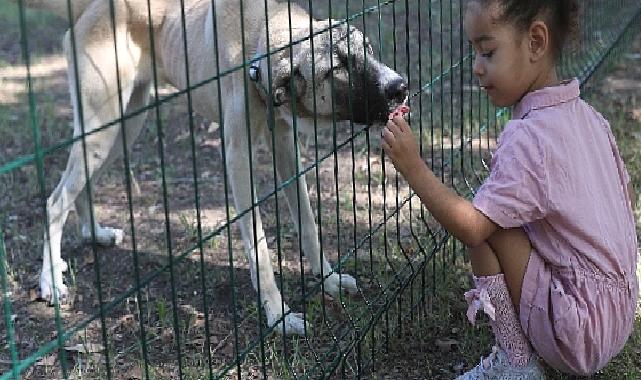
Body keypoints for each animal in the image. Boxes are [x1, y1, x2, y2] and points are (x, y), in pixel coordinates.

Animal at [25, 0, 408, 334]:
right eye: (337, 67)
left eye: (368, 48)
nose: (400, 87)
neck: (261, 43)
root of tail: (89, 10)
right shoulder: (238, 158)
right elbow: (259, 248)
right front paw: (279, 316)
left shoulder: (286, 147)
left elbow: (309, 225)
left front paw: (328, 281)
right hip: (101, 130)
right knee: (55, 201)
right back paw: (50, 281)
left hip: (123, 129)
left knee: (79, 189)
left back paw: (95, 234)